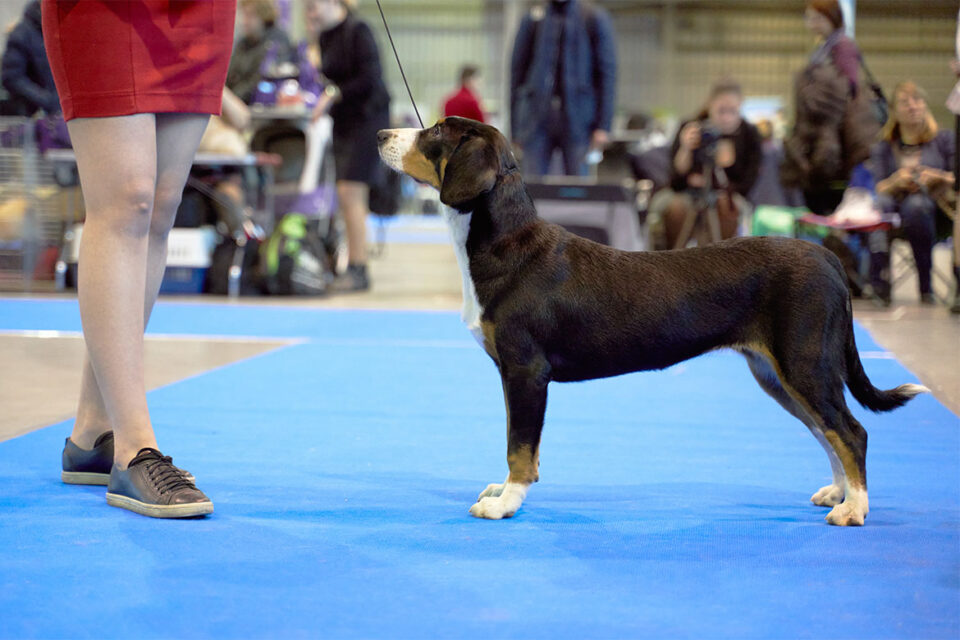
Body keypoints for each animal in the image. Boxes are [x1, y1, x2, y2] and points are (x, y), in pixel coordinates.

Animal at [378, 116, 928, 524]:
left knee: (850, 431)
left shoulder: (526, 371)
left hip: (805, 362)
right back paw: (838, 494)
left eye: (435, 132)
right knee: (825, 431)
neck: (505, 244)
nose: (382, 134)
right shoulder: (516, 375)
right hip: (778, 374)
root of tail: (827, 257)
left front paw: (506, 502)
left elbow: (520, 446)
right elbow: (521, 445)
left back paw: (854, 509)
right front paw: (505, 490)